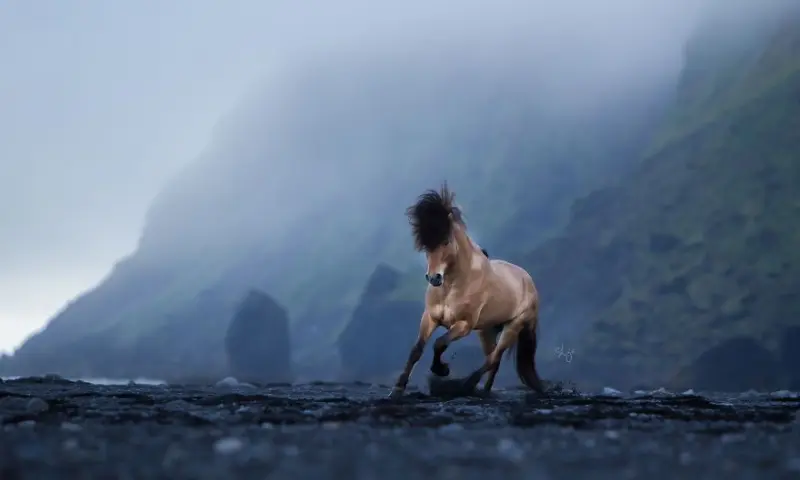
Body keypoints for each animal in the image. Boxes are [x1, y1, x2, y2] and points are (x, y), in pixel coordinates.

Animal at [389, 183, 545, 399]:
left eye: (446, 241)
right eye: (425, 243)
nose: (434, 278)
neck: (454, 284)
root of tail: (528, 280)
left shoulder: (464, 325)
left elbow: (439, 343)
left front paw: (441, 369)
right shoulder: (430, 317)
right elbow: (416, 350)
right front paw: (397, 389)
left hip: (513, 326)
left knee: (493, 358)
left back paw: (466, 386)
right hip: (487, 330)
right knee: (493, 360)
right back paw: (484, 391)